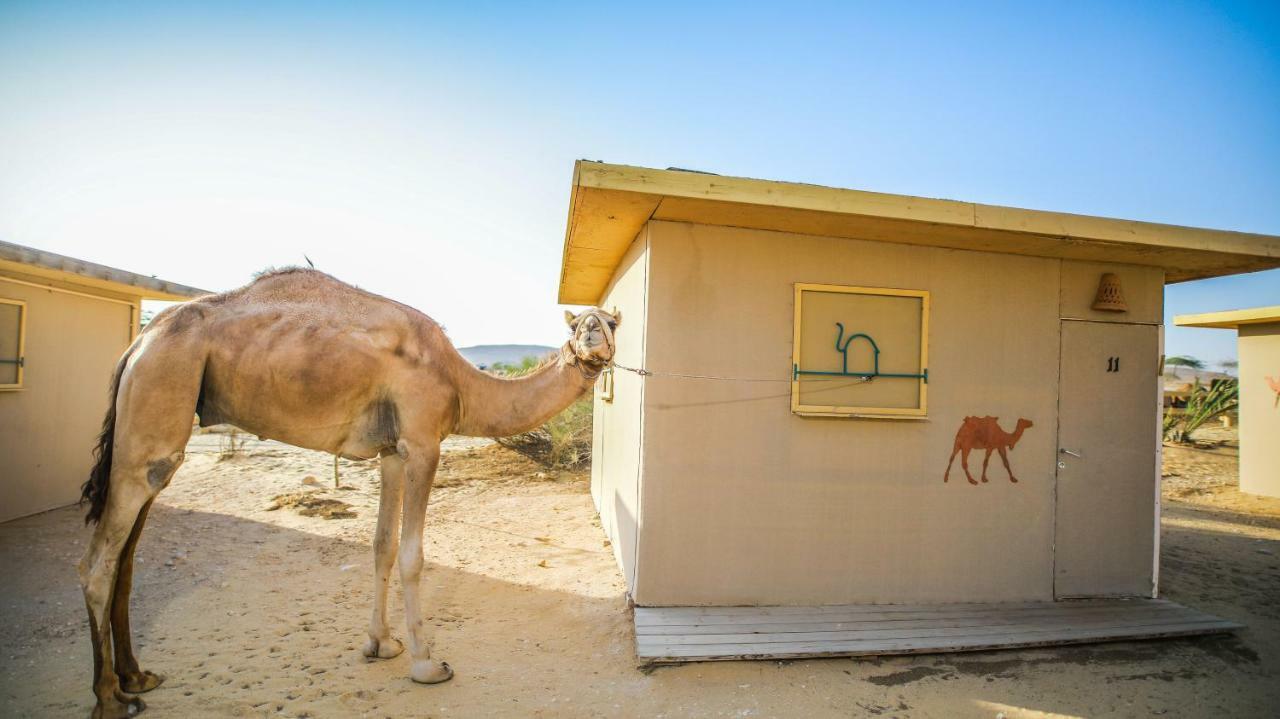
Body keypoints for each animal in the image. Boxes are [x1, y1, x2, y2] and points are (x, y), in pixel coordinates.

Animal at [74, 268, 619, 716]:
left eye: (612, 320)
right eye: (576, 325)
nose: (592, 338)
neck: (462, 384)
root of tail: (138, 344)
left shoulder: (393, 451)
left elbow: (381, 545)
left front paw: (381, 644)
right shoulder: (423, 443)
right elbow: (412, 554)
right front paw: (426, 664)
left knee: (126, 558)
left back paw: (136, 678)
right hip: (158, 398)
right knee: (98, 562)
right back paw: (109, 698)